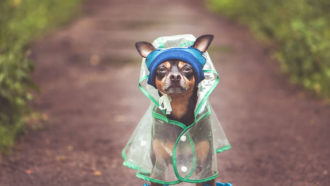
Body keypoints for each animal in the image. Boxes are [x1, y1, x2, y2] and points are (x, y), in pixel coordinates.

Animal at [135, 34, 215, 185]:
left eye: (187, 68)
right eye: (162, 69)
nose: (175, 76)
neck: (179, 108)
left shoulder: (206, 170)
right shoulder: (159, 170)